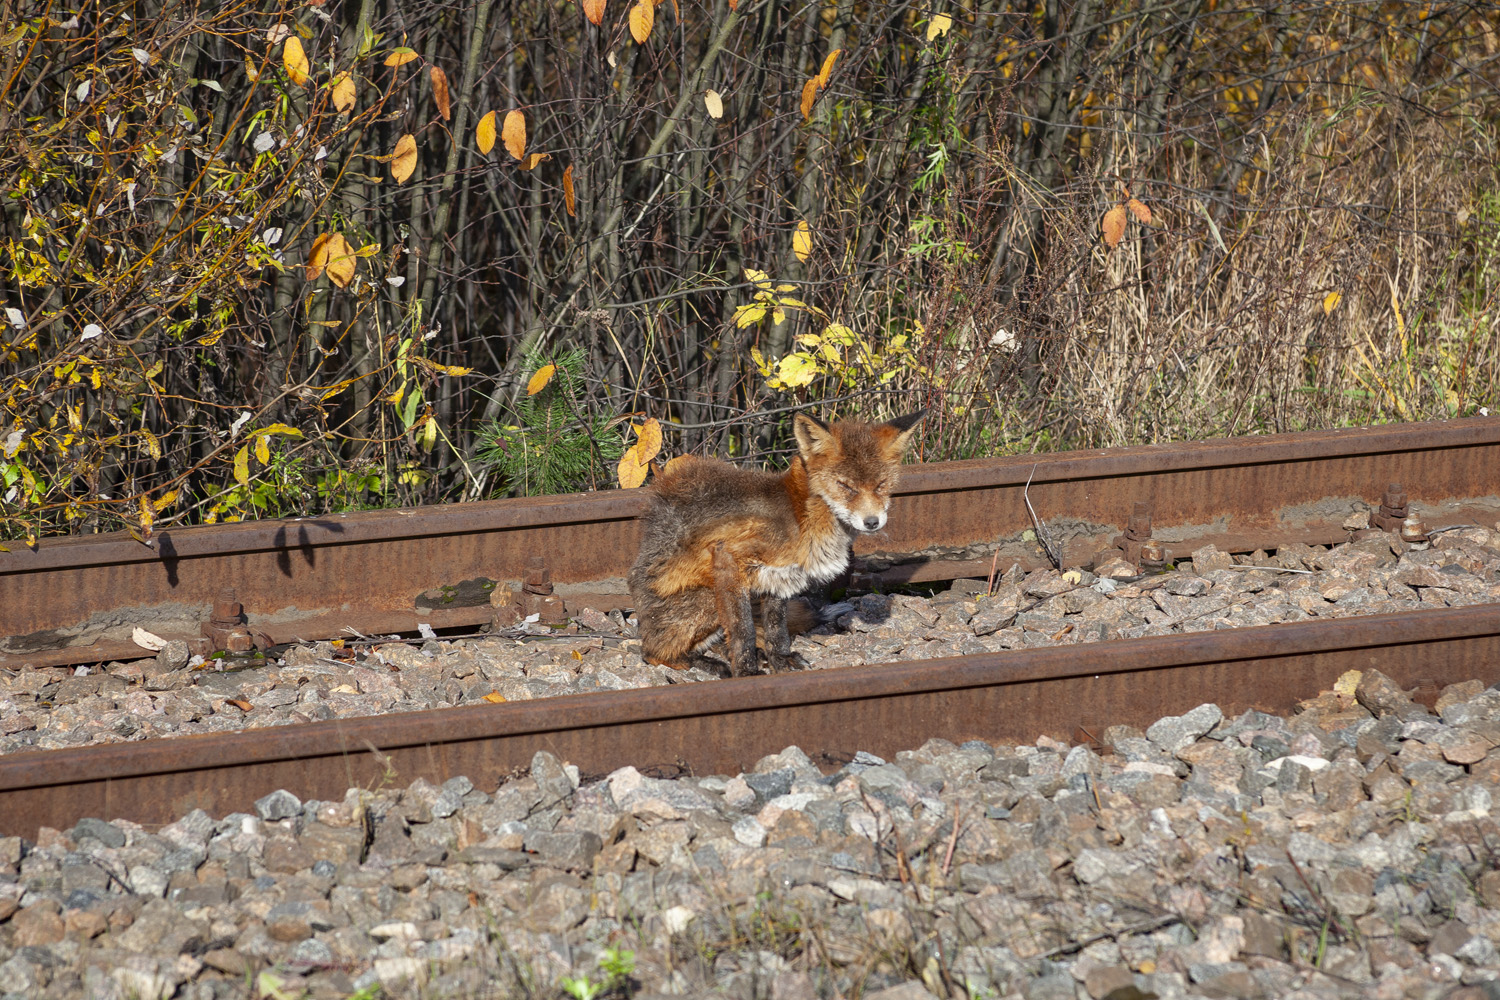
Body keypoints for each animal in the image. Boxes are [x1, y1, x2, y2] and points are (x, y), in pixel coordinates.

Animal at [624, 410, 924, 677]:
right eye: (846, 486)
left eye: (881, 484)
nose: (872, 522)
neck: (800, 517)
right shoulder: (729, 558)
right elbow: (742, 629)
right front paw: (746, 672)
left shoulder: (779, 574)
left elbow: (776, 626)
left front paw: (780, 659)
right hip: (707, 599)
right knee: (655, 653)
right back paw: (705, 663)